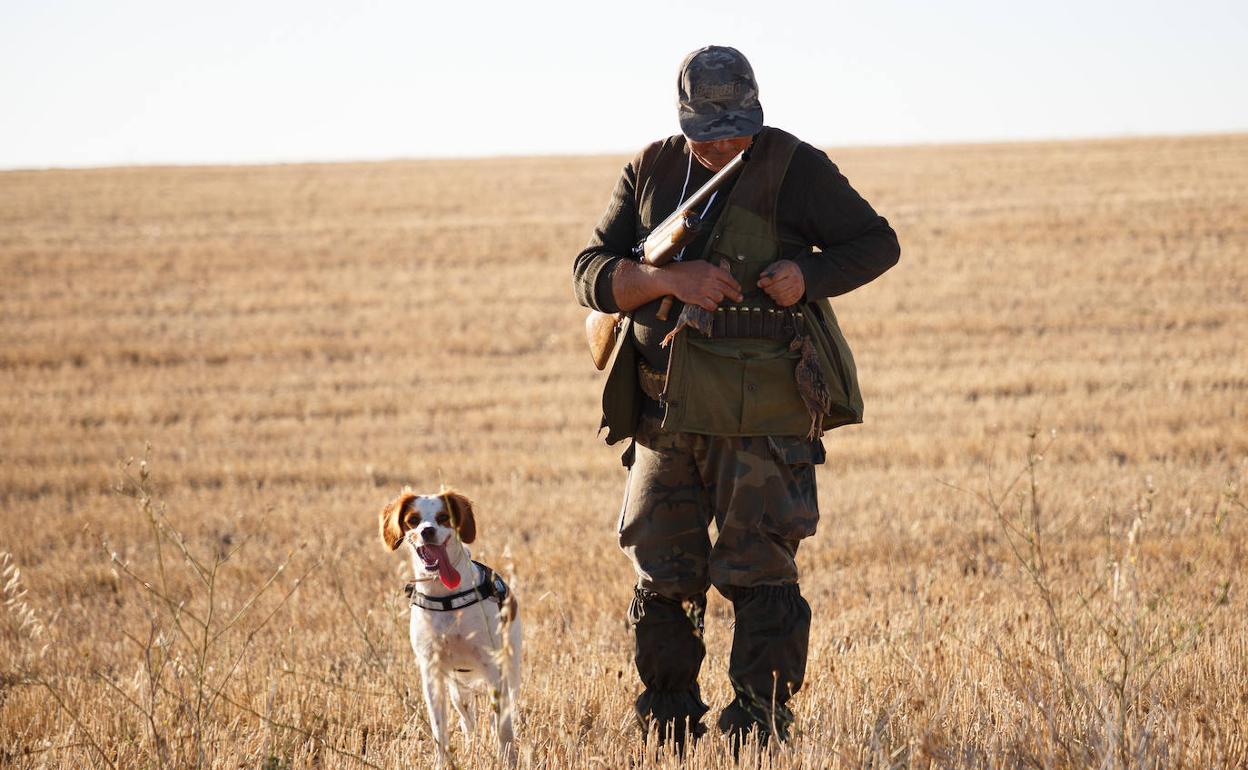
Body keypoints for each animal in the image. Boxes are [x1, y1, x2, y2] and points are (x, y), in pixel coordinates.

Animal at [376, 489, 519, 763]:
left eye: (444, 517)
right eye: (413, 520)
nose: (427, 531)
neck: (446, 596)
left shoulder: (493, 667)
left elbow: (503, 728)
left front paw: (508, 760)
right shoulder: (431, 672)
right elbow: (439, 729)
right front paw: (442, 763)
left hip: (511, 670)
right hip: (458, 691)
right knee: (468, 722)